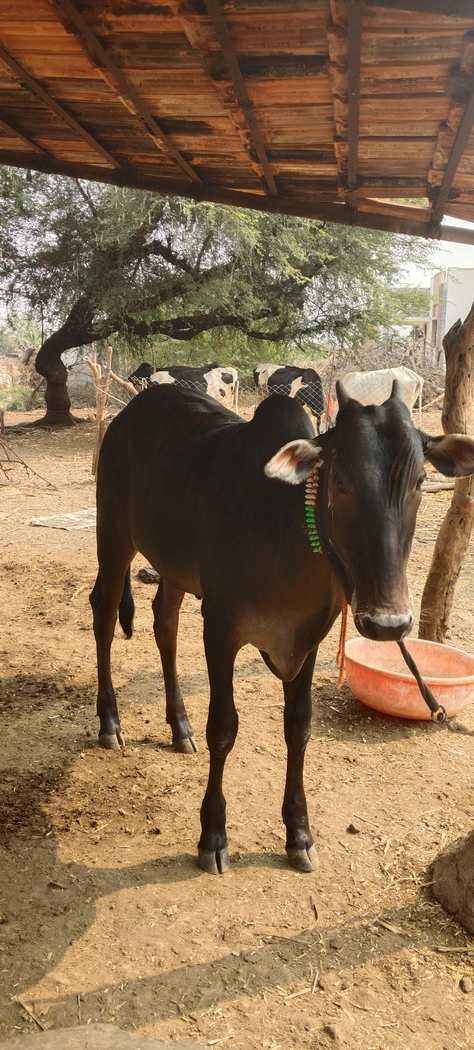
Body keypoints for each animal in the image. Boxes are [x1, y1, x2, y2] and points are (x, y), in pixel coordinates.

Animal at [90, 381, 474, 875]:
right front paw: (212, 837)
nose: (389, 621)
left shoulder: (308, 639)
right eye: (342, 482)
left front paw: (299, 834)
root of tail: (131, 410)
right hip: (112, 532)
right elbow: (224, 728)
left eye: (421, 483)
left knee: (165, 622)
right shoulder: (220, 628)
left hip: (172, 565)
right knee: (103, 615)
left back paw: (179, 727)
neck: (285, 535)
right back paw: (110, 722)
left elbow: (299, 726)